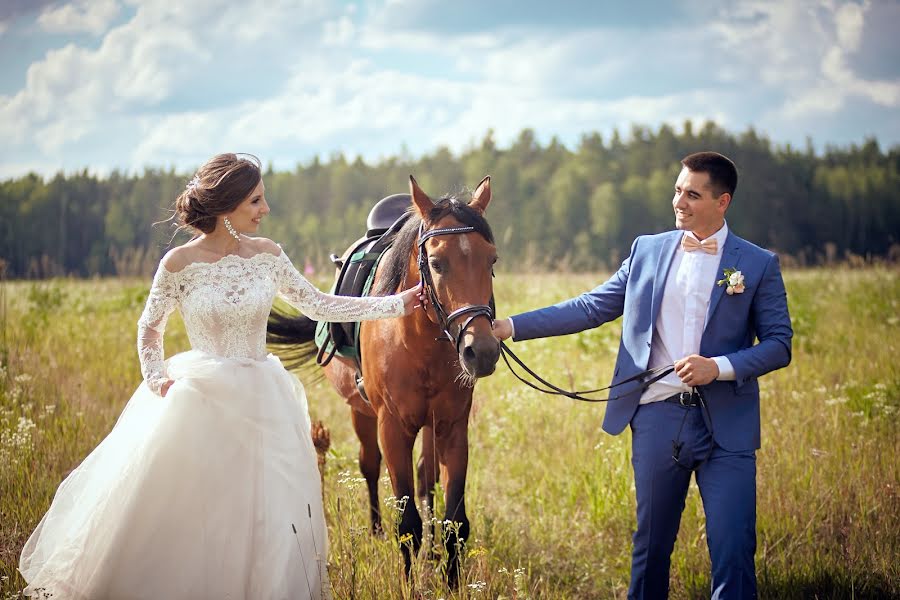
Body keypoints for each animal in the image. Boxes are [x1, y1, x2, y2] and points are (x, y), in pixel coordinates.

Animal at [270, 175, 502, 584]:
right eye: (436, 263)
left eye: (491, 259)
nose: (483, 351)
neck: (419, 341)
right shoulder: (391, 427)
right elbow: (407, 524)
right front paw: (409, 581)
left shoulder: (452, 426)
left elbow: (454, 521)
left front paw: (450, 578)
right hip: (360, 412)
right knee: (370, 466)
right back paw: (377, 532)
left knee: (427, 478)